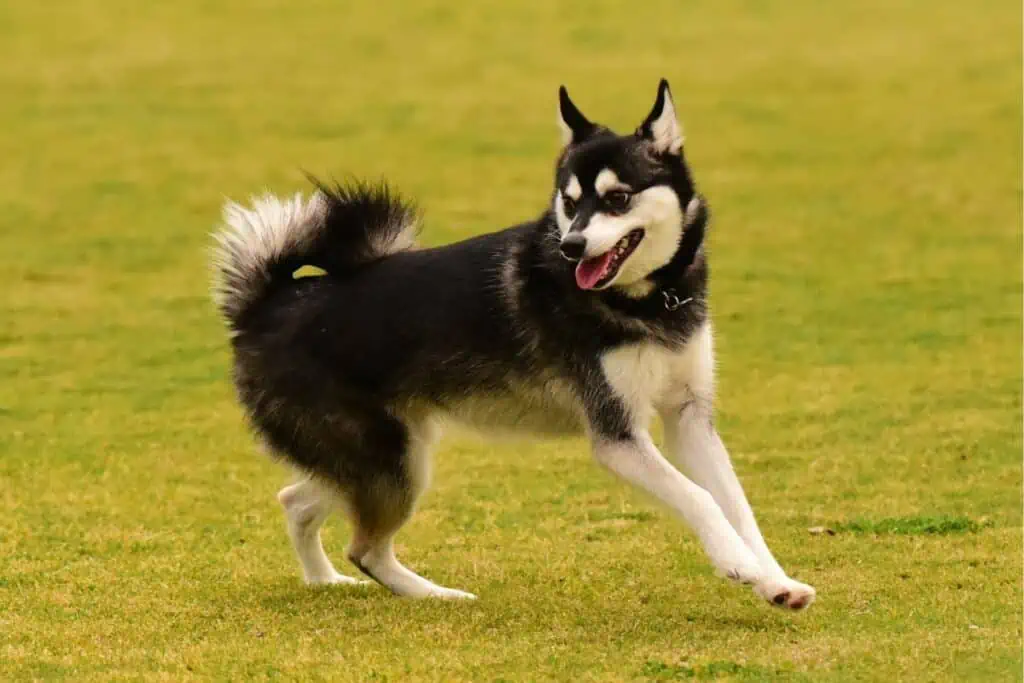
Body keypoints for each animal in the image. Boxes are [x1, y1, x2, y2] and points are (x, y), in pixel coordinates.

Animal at [209, 78, 815, 610]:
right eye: (569, 202)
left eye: (618, 198)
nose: (573, 247)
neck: (648, 301)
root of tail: (268, 303)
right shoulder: (618, 436)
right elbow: (701, 498)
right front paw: (737, 566)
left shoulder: (689, 418)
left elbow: (738, 506)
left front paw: (775, 581)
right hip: (389, 461)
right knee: (363, 546)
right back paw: (437, 596)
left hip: (382, 456)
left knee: (296, 502)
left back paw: (325, 582)